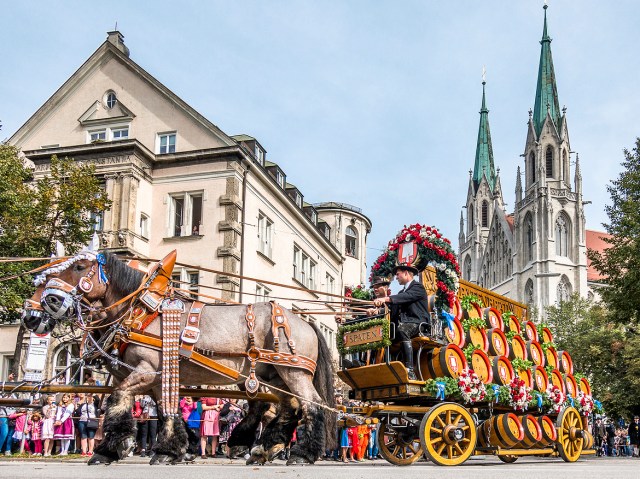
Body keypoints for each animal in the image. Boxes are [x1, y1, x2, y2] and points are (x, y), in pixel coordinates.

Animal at [21, 253, 336, 466]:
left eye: (79, 267)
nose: (31, 316)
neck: (141, 312)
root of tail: (305, 323)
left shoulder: (146, 371)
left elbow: (118, 399)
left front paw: (113, 447)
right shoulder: (156, 377)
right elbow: (164, 410)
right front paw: (171, 449)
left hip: (292, 372)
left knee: (311, 405)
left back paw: (301, 453)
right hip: (272, 375)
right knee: (285, 407)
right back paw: (261, 448)